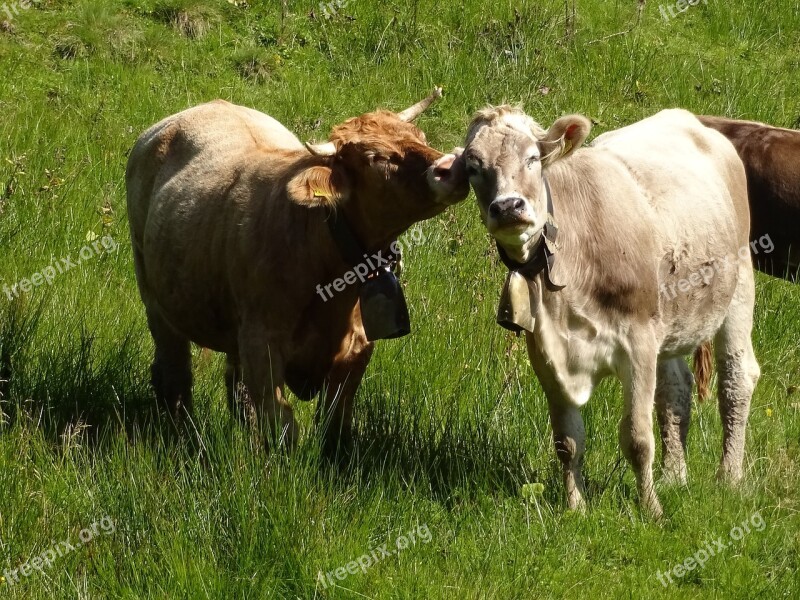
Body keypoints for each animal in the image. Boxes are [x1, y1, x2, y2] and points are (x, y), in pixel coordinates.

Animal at [125, 89, 468, 454]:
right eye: (376, 157)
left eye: (421, 137)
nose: (451, 166)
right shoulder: (261, 344)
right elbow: (283, 425)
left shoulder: (355, 349)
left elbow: (334, 425)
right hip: (153, 293)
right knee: (175, 370)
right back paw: (183, 430)